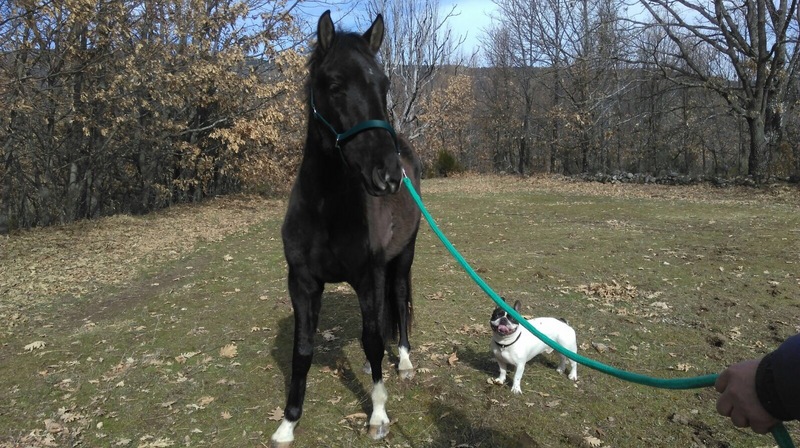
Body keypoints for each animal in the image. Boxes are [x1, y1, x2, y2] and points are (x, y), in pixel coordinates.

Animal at [270, 10, 422, 447]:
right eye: (335, 85)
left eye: (384, 84)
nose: (388, 175)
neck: (327, 210)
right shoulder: (302, 283)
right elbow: (303, 349)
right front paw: (288, 422)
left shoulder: (367, 277)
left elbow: (371, 340)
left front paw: (378, 414)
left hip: (403, 258)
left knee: (398, 301)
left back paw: (404, 360)